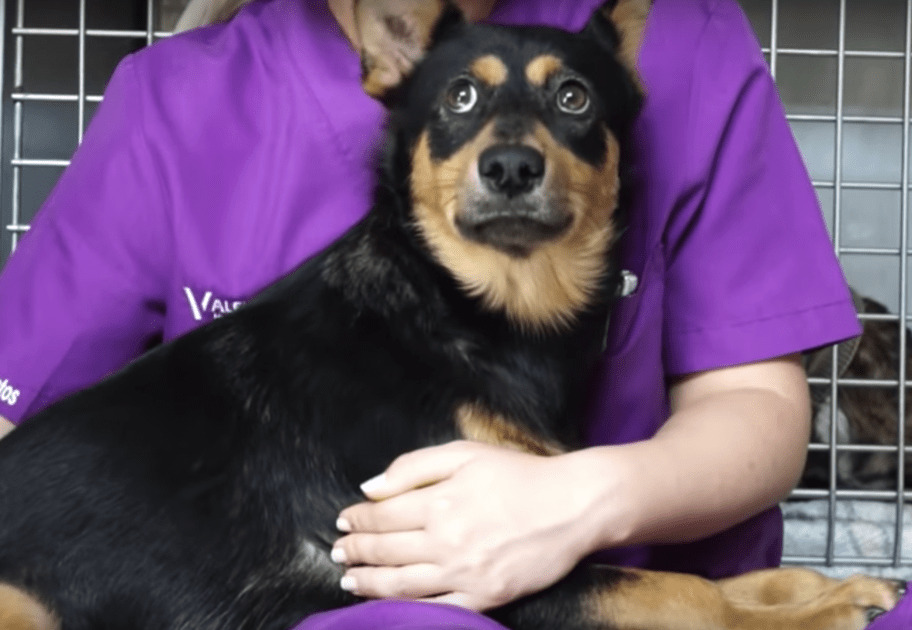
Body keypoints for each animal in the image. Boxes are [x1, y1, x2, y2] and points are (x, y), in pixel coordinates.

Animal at [0, 1, 904, 630]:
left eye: (574, 97)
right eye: (460, 95)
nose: (509, 167)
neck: (468, 310)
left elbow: (715, 578)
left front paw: (820, 585)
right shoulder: (473, 571)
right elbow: (682, 593)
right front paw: (824, 610)